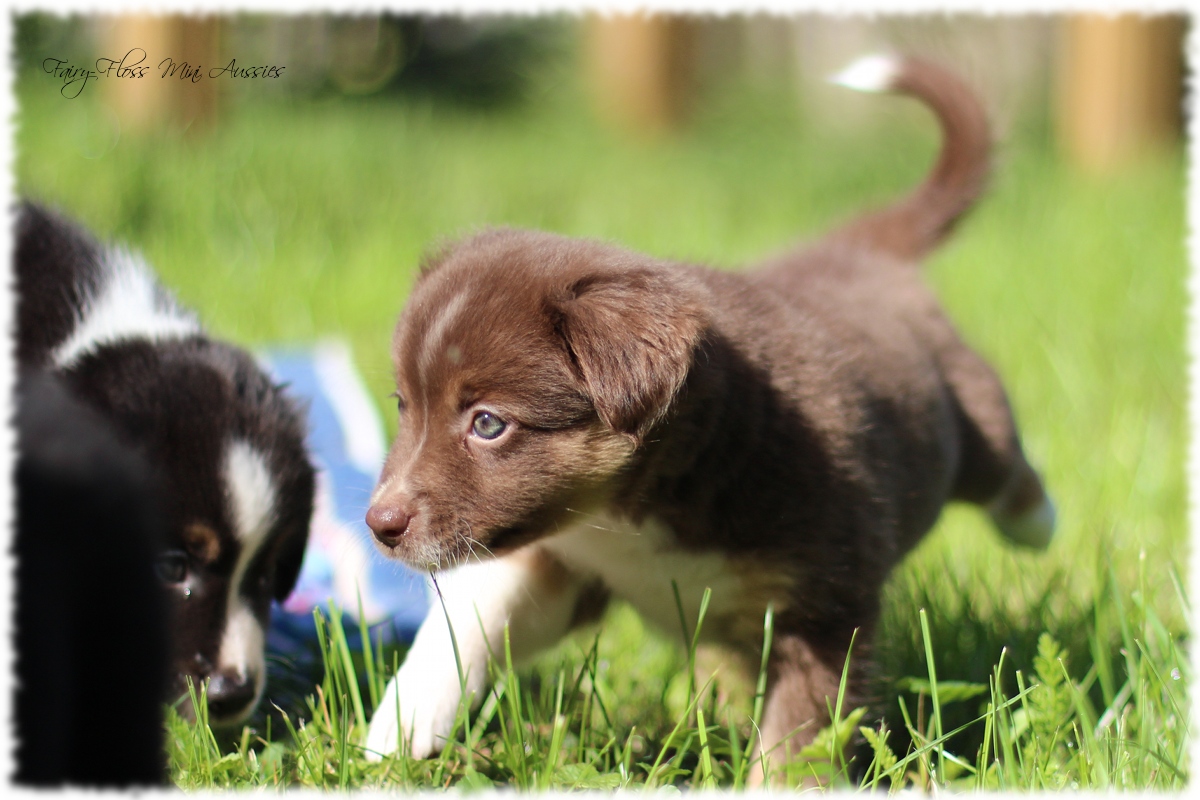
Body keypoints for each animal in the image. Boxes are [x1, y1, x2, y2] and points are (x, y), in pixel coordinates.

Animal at [362, 53, 1051, 777]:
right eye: (405, 406)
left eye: (488, 423)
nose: (379, 525)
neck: (635, 515)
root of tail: (853, 250)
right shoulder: (564, 562)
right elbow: (472, 616)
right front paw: (401, 724)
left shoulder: (825, 609)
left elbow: (798, 744)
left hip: (970, 419)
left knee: (1005, 460)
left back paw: (1036, 521)